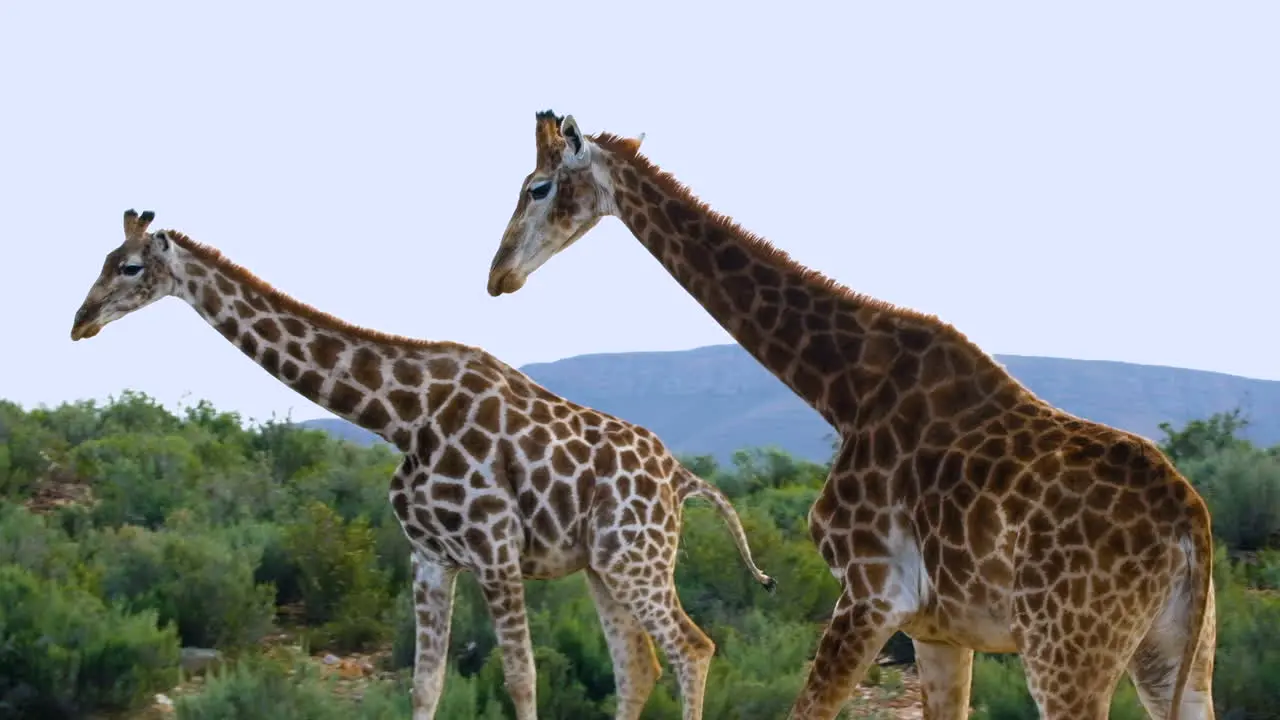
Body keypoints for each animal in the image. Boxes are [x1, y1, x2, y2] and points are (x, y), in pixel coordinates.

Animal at [72, 207, 778, 717]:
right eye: (104, 262)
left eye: (129, 267)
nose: (80, 321)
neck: (404, 415)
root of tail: (682, 478)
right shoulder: (431, 557)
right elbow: (426, 685)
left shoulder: (495, 547)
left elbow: (522, 679)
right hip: (605, 565)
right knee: (639, 666)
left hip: (638, 558)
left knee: (691, 648)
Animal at [483, 110, 1213, 717]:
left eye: (538, 187)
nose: (498, 275)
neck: (841, 386)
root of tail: (1189, 524)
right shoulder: (937, 630)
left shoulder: (869, 594)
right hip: (1176, 653)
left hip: (1068, 650)